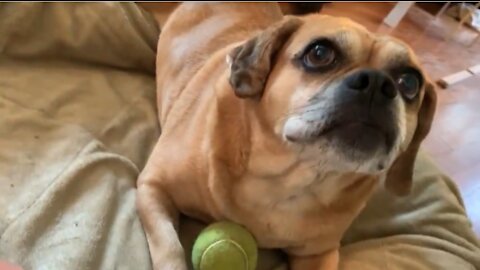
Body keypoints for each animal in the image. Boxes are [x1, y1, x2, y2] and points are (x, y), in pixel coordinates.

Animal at [137, 2, 436, 270]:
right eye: (319, 53)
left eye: (410, 82)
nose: (377, 83)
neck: (291, 179)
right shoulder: (152, 187)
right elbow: (170, 248)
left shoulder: (319, 254)